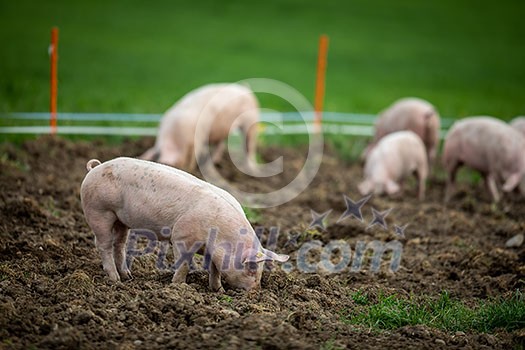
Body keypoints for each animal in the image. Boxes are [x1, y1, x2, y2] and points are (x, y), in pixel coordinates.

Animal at [80, 157, 288, 292]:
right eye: (251, 268)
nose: (256, 291)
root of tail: (95, 168)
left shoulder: (213, 252)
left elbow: (215, 270)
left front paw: (218, 290)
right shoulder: (182, 236)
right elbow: (184, 264)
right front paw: (178, 287)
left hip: (121, 220)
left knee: (119, 244)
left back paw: (128, 276)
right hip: (99, 210)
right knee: (103, 244)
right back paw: (115, 280)